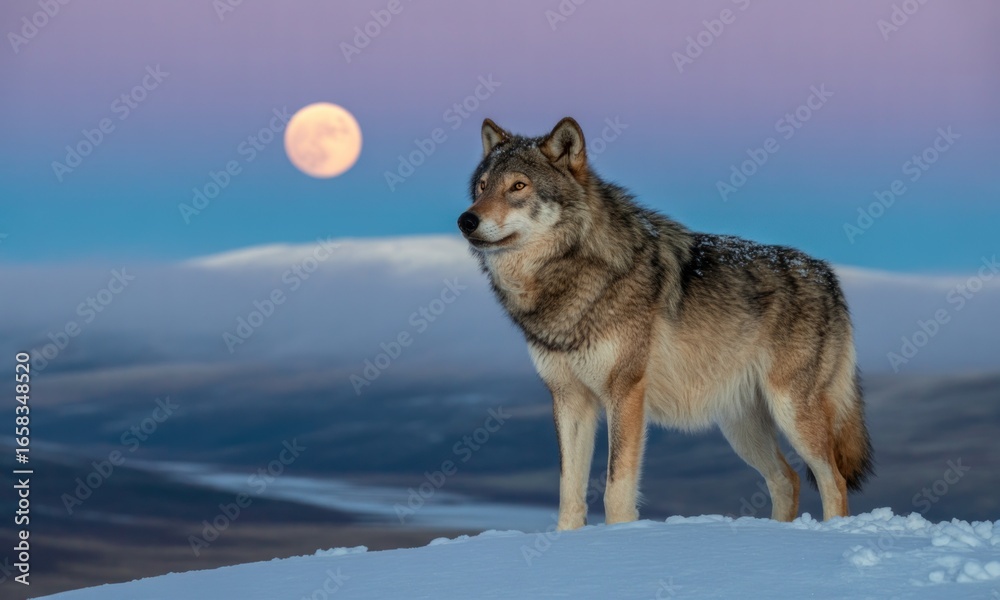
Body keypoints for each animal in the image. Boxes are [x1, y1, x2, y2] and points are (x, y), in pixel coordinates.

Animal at [457, 117, 874, 530]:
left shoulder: (625, 392)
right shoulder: (569, 398)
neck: (570, 276)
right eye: (482, 187)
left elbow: (615, 489)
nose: (466, 219)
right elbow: (568, 495)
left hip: (791, 412)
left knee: (833, 480)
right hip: (741, 427)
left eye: (518, 186)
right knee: (786, 479)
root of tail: (827, 275)